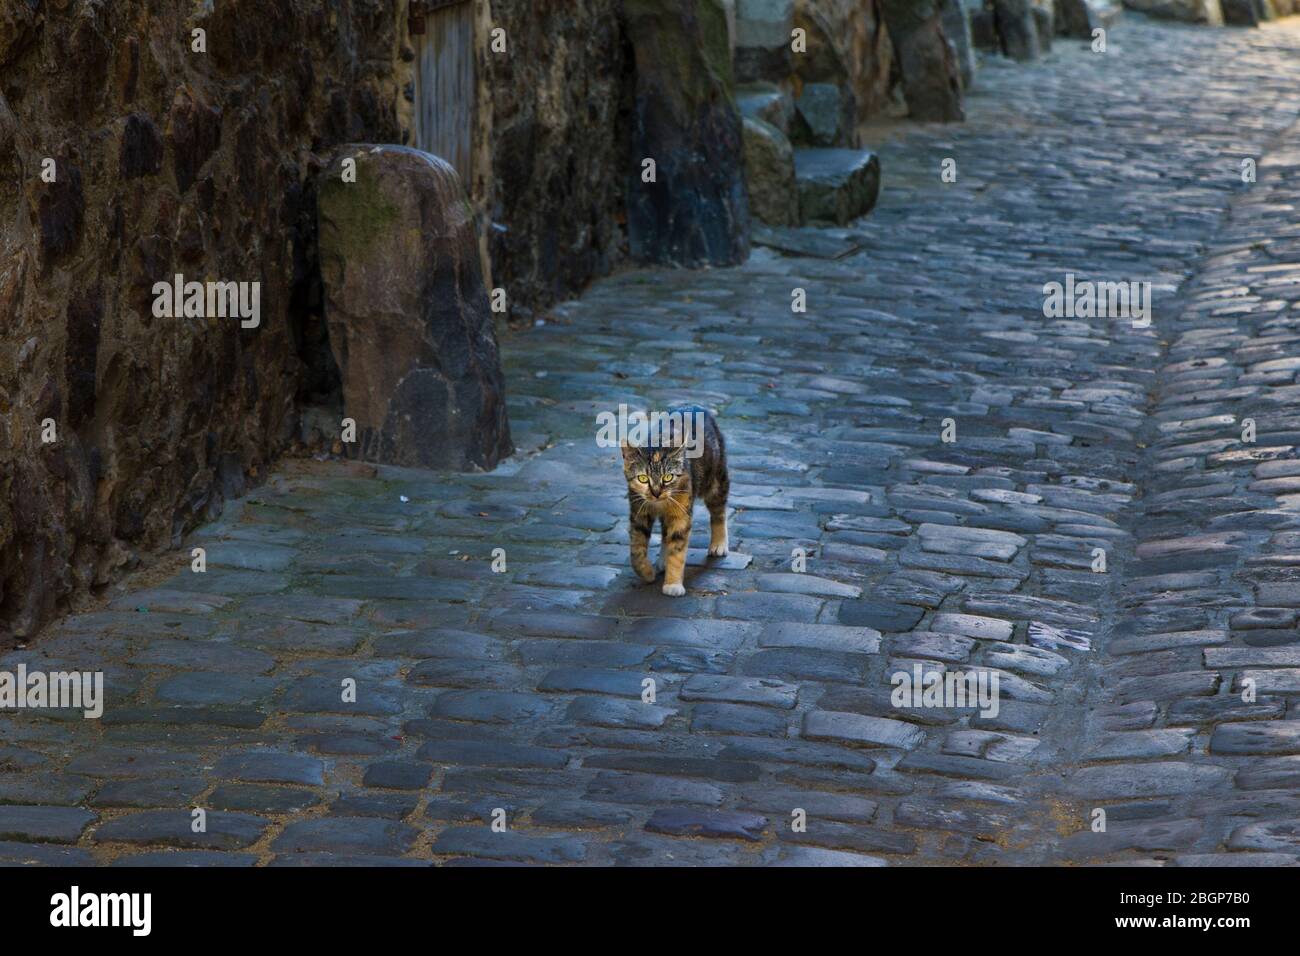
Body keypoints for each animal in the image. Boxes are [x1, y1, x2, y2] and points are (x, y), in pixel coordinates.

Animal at [621, 403, 733, 598]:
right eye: (642, 478)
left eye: (668, 477)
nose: (656, 493)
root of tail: (697, 406)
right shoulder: (638, 510)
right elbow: (636, 548)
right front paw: (647, 572)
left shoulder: (682, 510)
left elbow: (678, 546)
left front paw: (673, 584)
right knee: (665, 531)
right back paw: (662, 559)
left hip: (715, 478)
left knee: (719, 510)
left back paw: (719, 544)